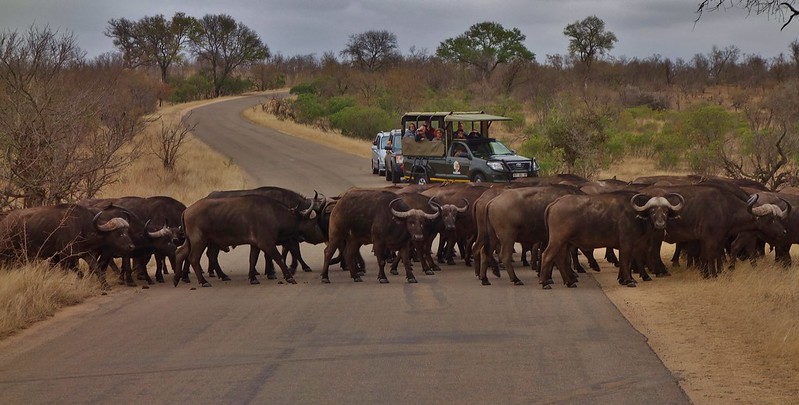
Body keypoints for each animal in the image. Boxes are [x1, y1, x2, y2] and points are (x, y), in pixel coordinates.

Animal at [0, 204, 136, 286]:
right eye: (119, 233)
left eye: (127, 231)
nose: (131, 247)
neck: (82, 227)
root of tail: (5, 222)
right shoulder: (64, 256)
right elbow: (69, 272)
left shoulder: (86, 254)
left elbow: (96, 268)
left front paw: (105, 286)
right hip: (10, 256)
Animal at [177, 194, 324, 286]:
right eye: (313, 222)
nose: (321, 236)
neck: (274, 215)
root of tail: (187, 210)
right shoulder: (267, 244)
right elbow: (278, 258)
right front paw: (289, 277)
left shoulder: (255, 245)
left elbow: (252, 259)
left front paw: (253, 278)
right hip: (199, 241)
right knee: (194, 258)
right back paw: (203, 282)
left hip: (193, 242)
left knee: (181, 253)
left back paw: (178, 279)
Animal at [540, 192, 684, 288]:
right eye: (652, 211)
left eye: (666, 211)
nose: (660, 224)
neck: (637, 217)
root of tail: (555, 202)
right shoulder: (626, 243)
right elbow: (625, 260)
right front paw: (629, 280)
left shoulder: (632, 245)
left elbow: (629, 261)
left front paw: (623, 279)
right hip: (557, 240)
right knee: (547, 255)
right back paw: (545, 282)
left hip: (564, 242)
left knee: (560, 258)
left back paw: (569, 282)